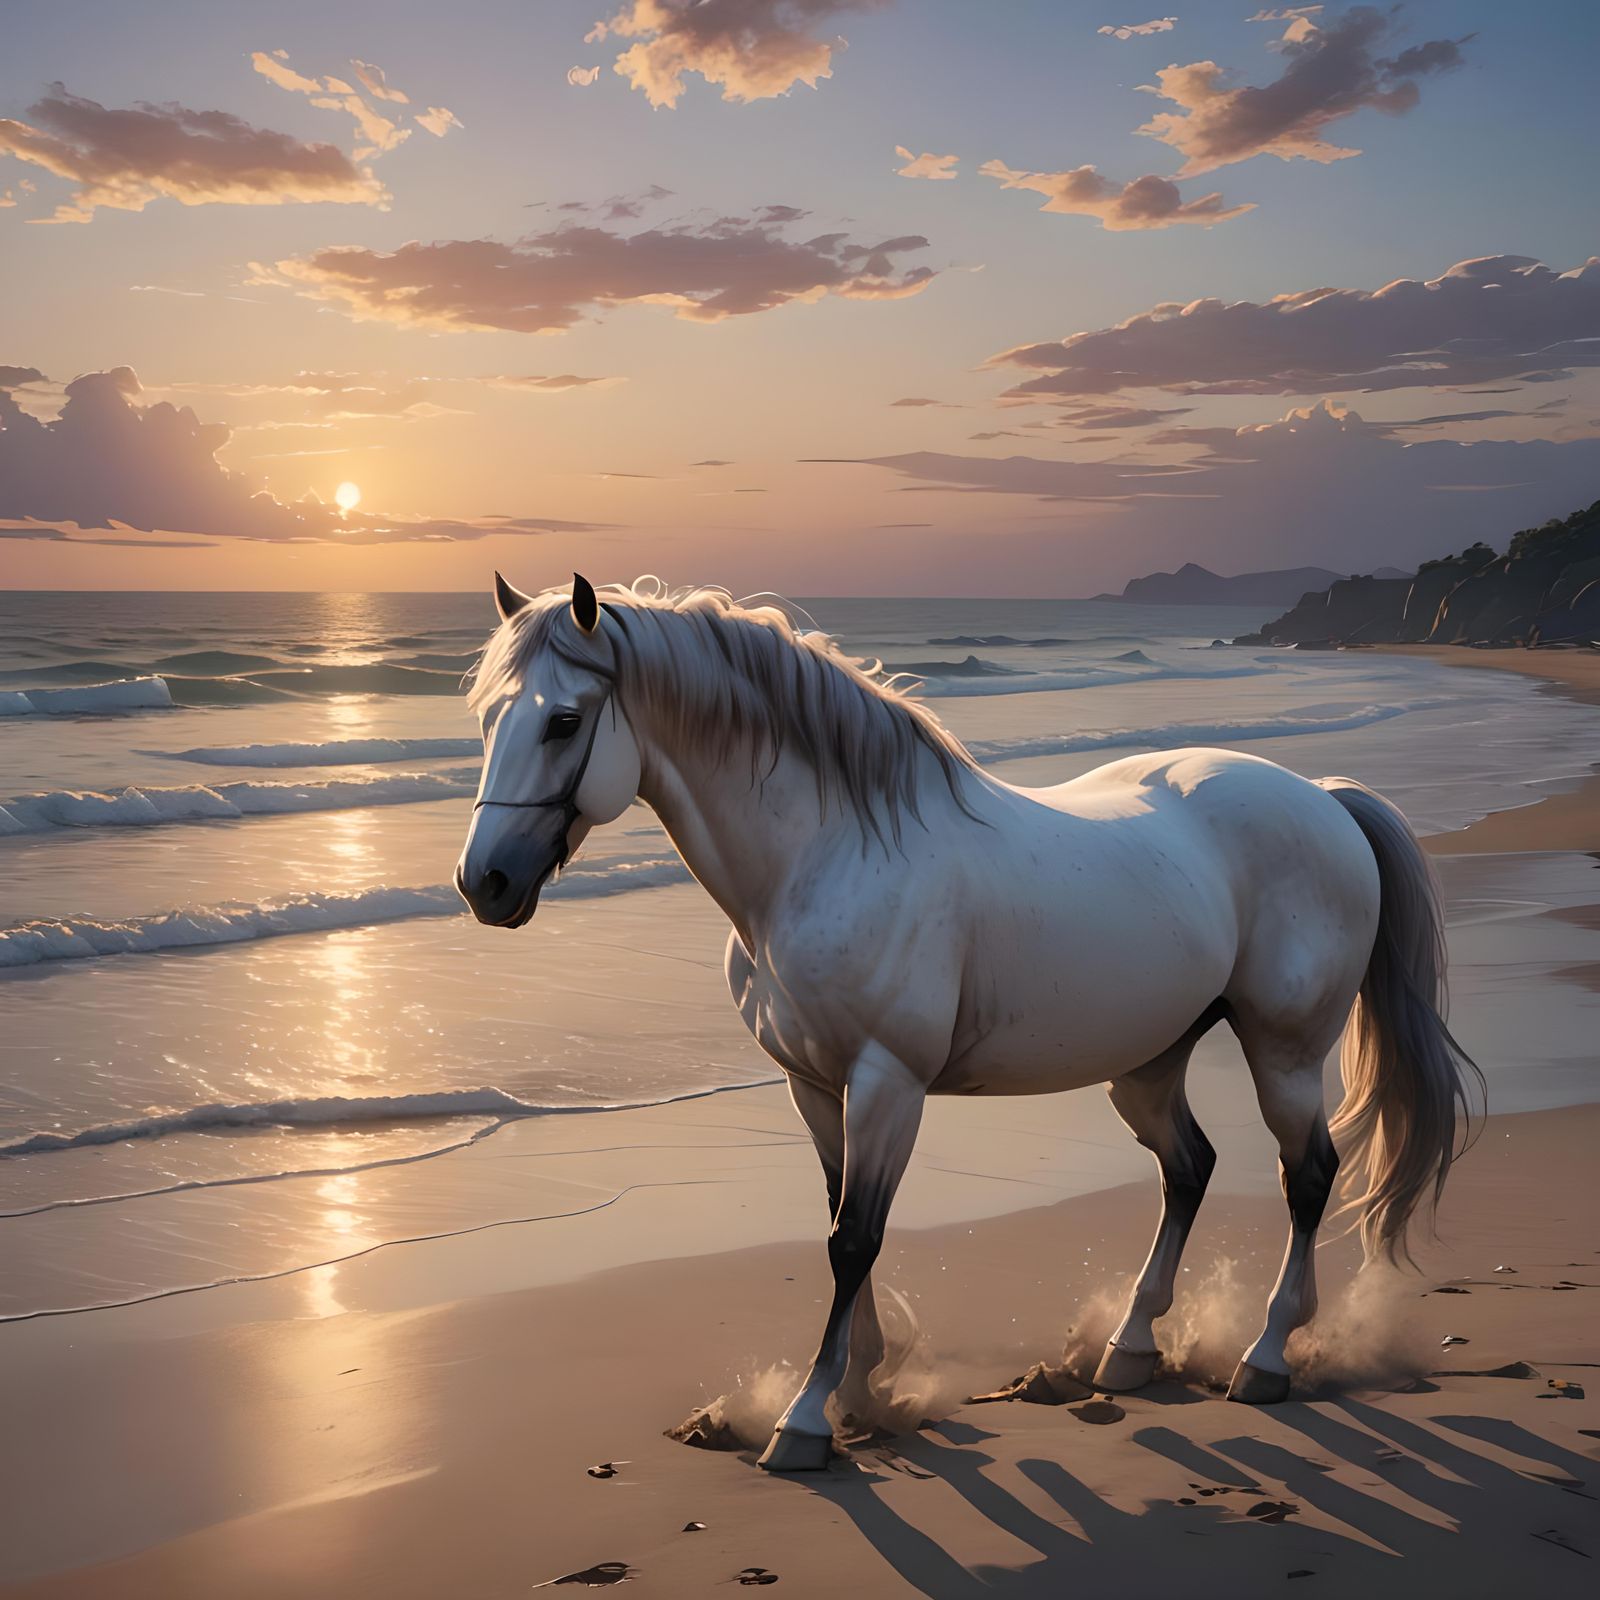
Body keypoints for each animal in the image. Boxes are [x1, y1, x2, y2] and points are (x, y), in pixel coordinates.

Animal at [455, 573, 1482, 1473]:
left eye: (562, 720)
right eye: (488, 719)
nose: (484, 884)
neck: (826, 857)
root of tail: (1323, 798)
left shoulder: (887, 1085)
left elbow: (853, 1240)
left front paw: (807, 1421)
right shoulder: (814, 1085)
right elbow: (840, 1221)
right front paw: (861, 1392)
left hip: (1284, 1052)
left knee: (1305, 1174)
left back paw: (1264, 1357)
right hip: (1149, 1062)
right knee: (1189, 1168)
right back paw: (1129, 1349)